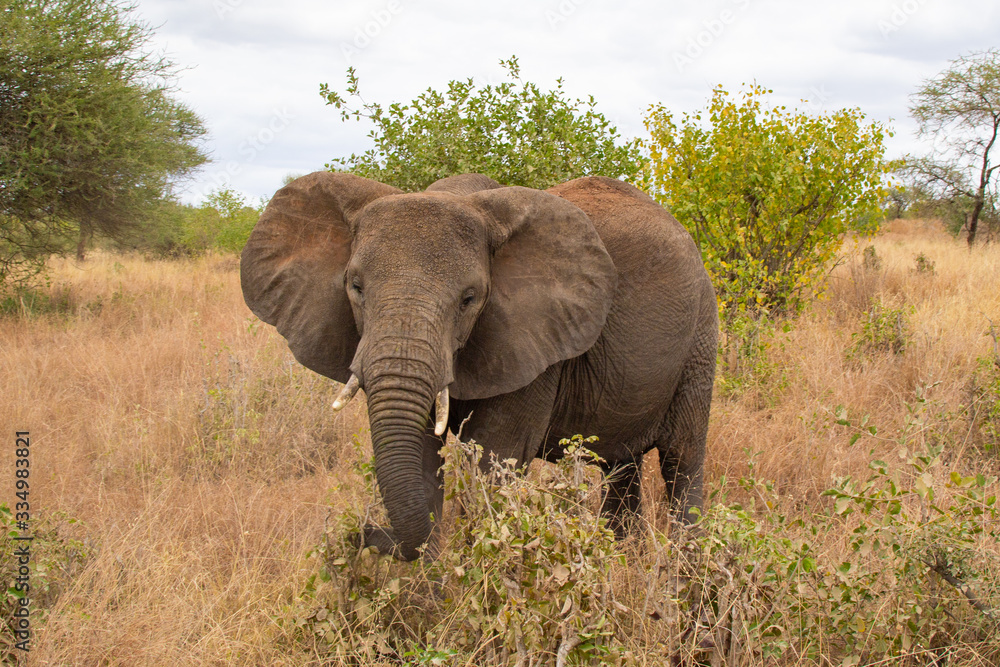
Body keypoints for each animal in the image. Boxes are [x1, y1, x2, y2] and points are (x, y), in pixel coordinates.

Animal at [246, 171, 724, 560]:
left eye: (469, 299)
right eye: (355, 287)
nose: (357, 535)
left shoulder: (534, 343)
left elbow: (495, 462)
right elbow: (423, 459)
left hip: (701, 337)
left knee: (682, 460)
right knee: (620, 466)